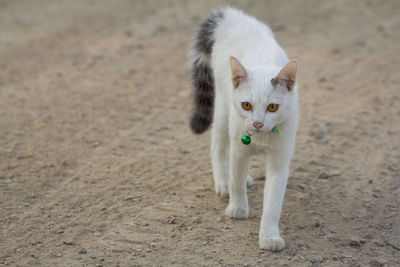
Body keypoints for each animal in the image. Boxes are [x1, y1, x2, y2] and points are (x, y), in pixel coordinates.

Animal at [189, 6, 298, 253]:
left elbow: (273, 203)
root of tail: (231, 14)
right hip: (222, 109)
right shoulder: (239, 149)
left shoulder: (280, 160)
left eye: (272, 107)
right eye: (247, 105)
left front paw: (269, 236)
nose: (257, 123)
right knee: (217, 148)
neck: (260, 137)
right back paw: (223, 180)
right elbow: (236, 180)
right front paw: (237, 208)